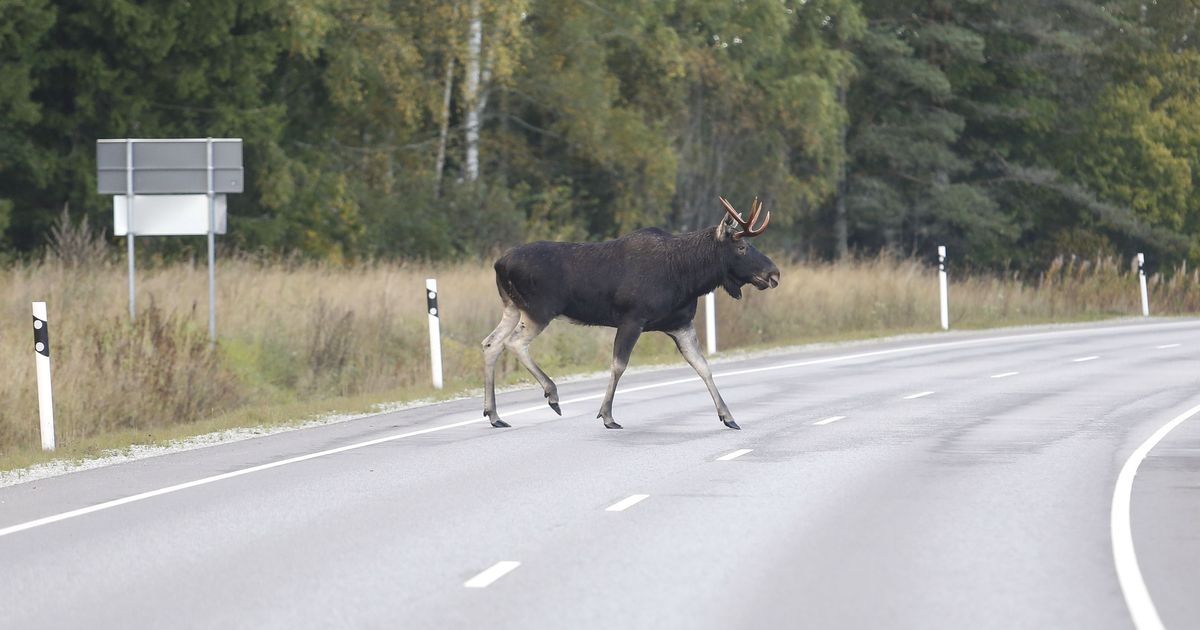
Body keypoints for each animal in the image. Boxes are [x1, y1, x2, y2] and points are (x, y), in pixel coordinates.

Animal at [482, 195, 782, 427]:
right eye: (741, 247)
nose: (774, 274)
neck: (688, 277)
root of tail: (499, 264)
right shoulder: (632, 319)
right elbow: (619, 365)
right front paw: (607, 415)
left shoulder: (680, 324)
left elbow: (703, 366)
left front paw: (728, 416)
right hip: (539, 310)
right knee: (514, 343)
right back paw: (551, 394)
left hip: (513, 307)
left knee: (491, 343)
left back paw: (494, 414)